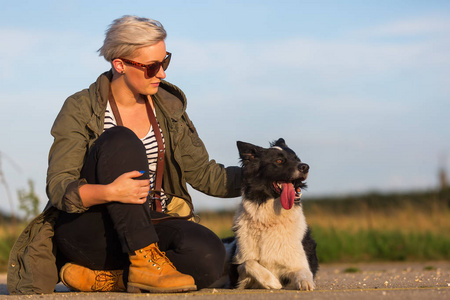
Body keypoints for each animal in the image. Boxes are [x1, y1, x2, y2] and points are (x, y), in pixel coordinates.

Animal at [223, 139, 318, 290]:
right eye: (279, 161)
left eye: (297, 159)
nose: (305, 167)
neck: (269, 220)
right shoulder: (237, 273)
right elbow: (248, 263)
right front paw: (273, 281)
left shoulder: (300, 264)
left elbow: (304, 274)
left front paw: (306, 283)